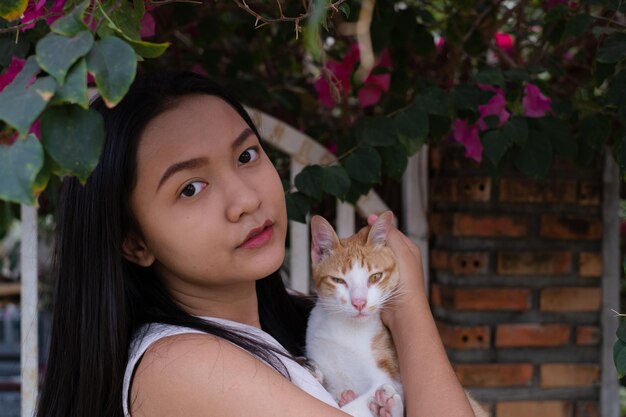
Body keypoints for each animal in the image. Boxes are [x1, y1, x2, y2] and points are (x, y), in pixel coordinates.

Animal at [304, 211, 486, 416]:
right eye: (338, 280)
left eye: (375, 277)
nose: (359, 303)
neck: (346, 328)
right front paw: (316, 376)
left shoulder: (390, 377)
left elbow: (354, 407)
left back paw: (387, 405)